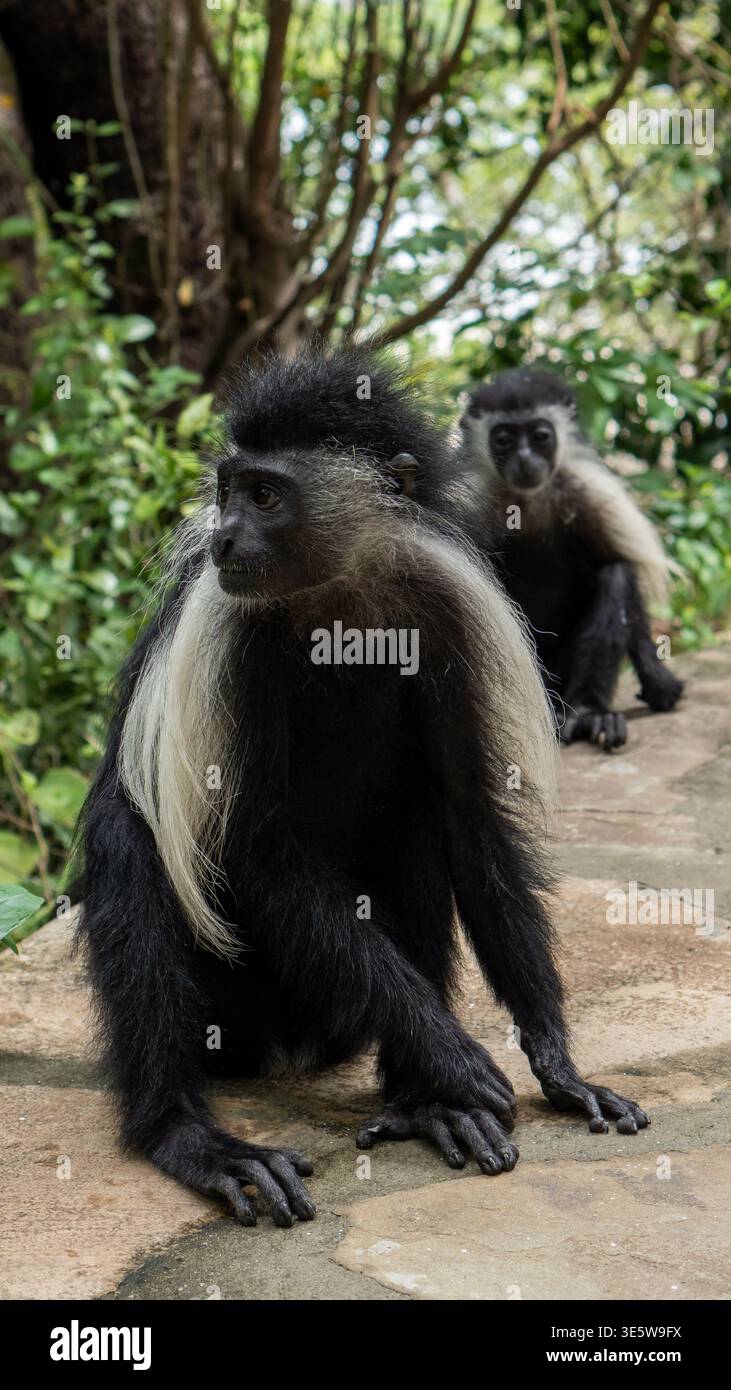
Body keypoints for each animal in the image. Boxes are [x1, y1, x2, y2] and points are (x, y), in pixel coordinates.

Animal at [76, 348, 649, 1229]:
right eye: (229, 489)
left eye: (264, 494)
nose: (223, 536)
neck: (339, 595)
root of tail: (287, 1045)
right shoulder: (229, 636)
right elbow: (254, 846)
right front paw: (457, 1056)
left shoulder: (448, 610)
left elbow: (468, 816)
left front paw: (555, 1065)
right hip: (234, 1003)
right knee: (128, 847)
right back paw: (194, 1141)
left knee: (414, 822)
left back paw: (424, 1105)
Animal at [459, 368, 684, 751]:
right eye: (503, 440)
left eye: (540, 436)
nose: (524, 459)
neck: (528, 501)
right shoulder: (470, 501)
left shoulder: (592, 494)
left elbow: (620, 565)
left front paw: (656, 678)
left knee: (615, 576)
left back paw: (589, 713)